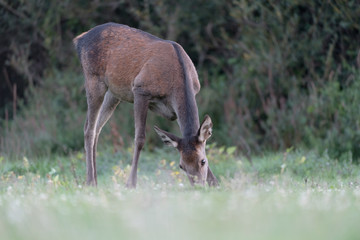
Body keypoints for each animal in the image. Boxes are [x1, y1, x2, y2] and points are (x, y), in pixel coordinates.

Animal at [74, 22, 217, 188]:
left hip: (114, 93)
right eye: (181, 166)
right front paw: (131, 183)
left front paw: (215, 182)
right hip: (93, 79)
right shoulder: (140, 90)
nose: (199, 186)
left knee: (97, 128)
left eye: (203, 161)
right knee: (89, 129)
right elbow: (140, 138)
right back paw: (90, 181)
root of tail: (80, 39)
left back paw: (95, 180)